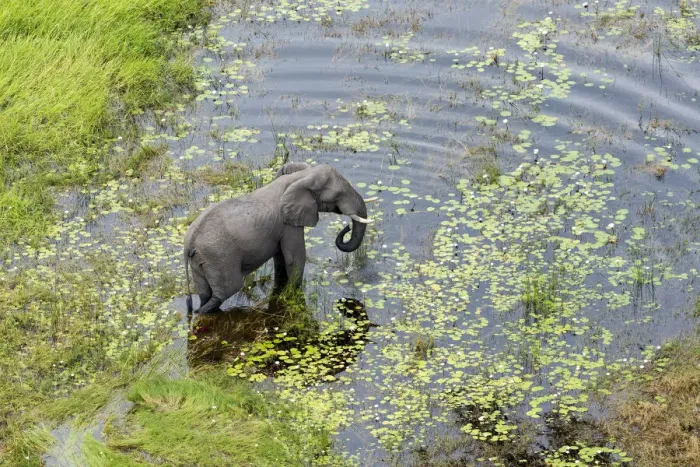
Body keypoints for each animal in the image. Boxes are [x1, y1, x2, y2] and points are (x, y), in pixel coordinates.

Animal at [184, 162, 375, 314]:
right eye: (338, 195)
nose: (347, 227)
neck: (300, 177)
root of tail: (189, 244)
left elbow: (281, 258)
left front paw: (282, 290)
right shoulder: (288, 223)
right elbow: (295, 258)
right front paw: (291, 293)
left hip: (201, 261)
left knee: (205, 293)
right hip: (220, 259)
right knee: (227, 290)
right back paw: (202, 312)